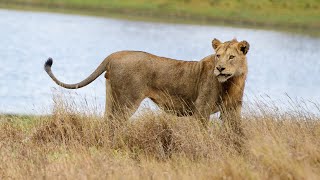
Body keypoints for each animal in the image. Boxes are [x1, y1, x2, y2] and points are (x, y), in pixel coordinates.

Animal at [43, 38, 249, 133]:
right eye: (218, 55)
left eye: (231, 56)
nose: (220, 68)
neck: (233, 81)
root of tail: (113, 55)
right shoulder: (201, 109)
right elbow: (202, 134)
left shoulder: (232, 111)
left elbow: (236, 133)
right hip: (127, 101)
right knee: (115, 124)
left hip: (112, 98)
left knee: (107, 122)